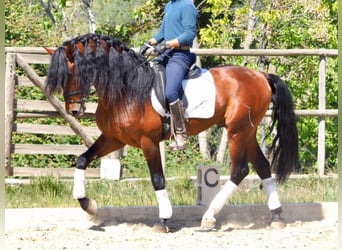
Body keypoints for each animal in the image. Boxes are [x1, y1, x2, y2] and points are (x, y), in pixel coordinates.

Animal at [44, 33, 300, 232]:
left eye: (73, 72)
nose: (73, 111)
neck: (127, 88)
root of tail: (261, 76)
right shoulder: (114, 138)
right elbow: (82, 160)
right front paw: (89, 206)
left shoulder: (147, 141)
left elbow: (157, 178)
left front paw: (163, 220)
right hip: (248, 130)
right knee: (263, 166)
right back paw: (276, 216)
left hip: (237, 130)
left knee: (240, 170)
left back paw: (209, 218)